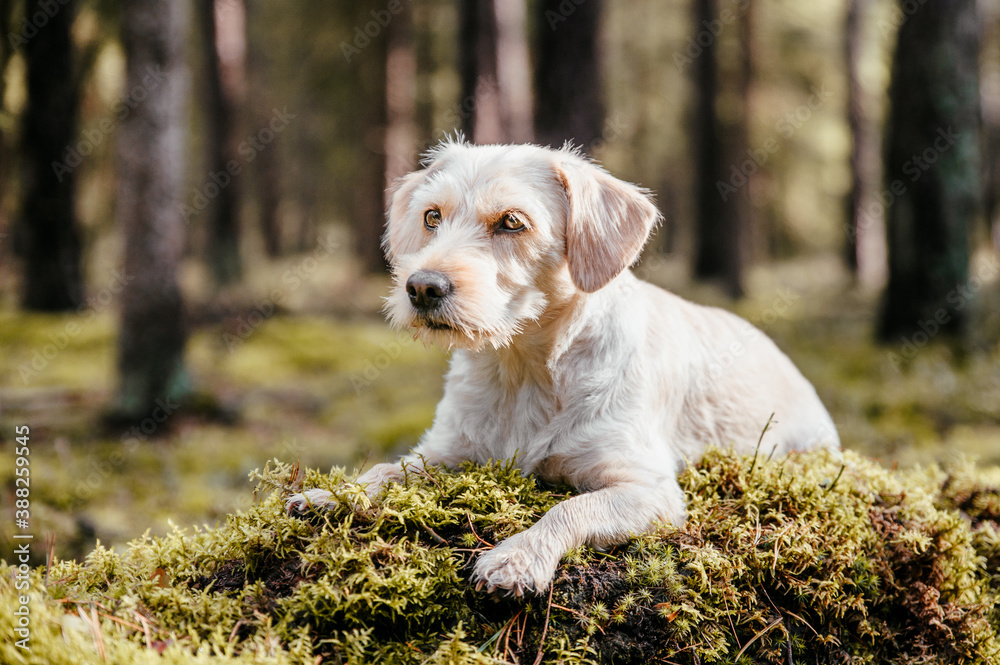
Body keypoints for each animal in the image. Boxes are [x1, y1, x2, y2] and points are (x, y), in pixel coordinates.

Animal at [286, 141, 840, 596]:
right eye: (431, 216)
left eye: (512, 222)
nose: (421, 287)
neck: (523, 370)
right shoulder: (447, 450)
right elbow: (388, 468)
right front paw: (333, 493)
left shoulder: (648, 489)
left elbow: (569, 507)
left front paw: (517, 556)